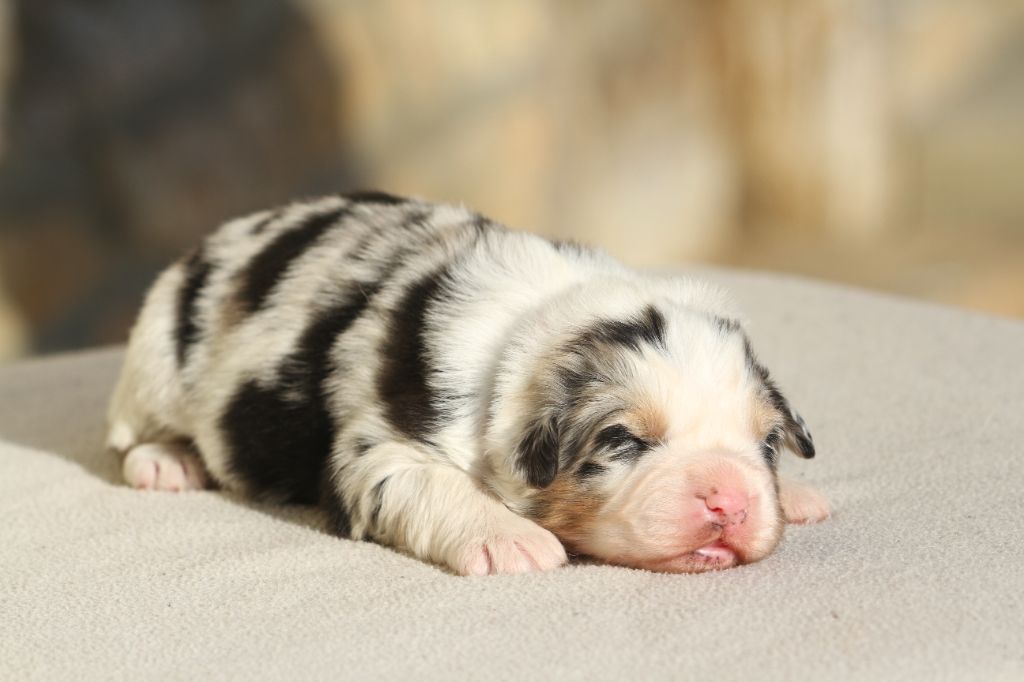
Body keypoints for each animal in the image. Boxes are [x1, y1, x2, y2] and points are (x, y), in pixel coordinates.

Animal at [108, 191, 827, 573]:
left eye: (767, 444)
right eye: (622, 440)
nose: (729, 502)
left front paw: (797, 495)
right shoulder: (375, 450)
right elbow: (431, 486)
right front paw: (514, 542)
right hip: (153, 366)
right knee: (133, 435)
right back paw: (167, 463)